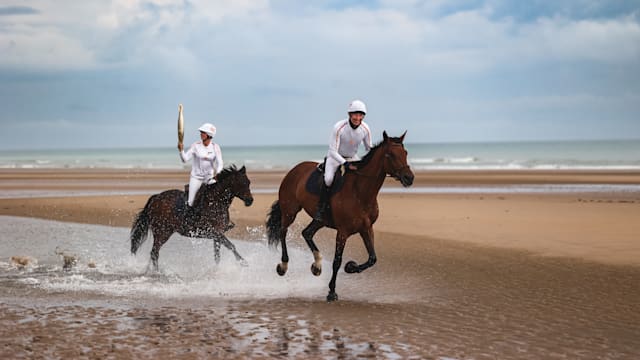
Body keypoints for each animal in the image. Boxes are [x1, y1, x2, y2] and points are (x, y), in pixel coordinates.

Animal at [264, 131, 416, 300]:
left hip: (320, 220)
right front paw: (331, 291)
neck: (360, 193)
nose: (409, 178)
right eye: (390, 155)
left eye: (405, 153)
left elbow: (372, 258)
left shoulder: (366, 228)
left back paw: (316, 266)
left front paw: (351, 267)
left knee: (307, 233)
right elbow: (337, 261)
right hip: (290, 211)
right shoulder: (343, 232)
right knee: (283, 232)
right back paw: (283, 266)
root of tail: (294, 170)